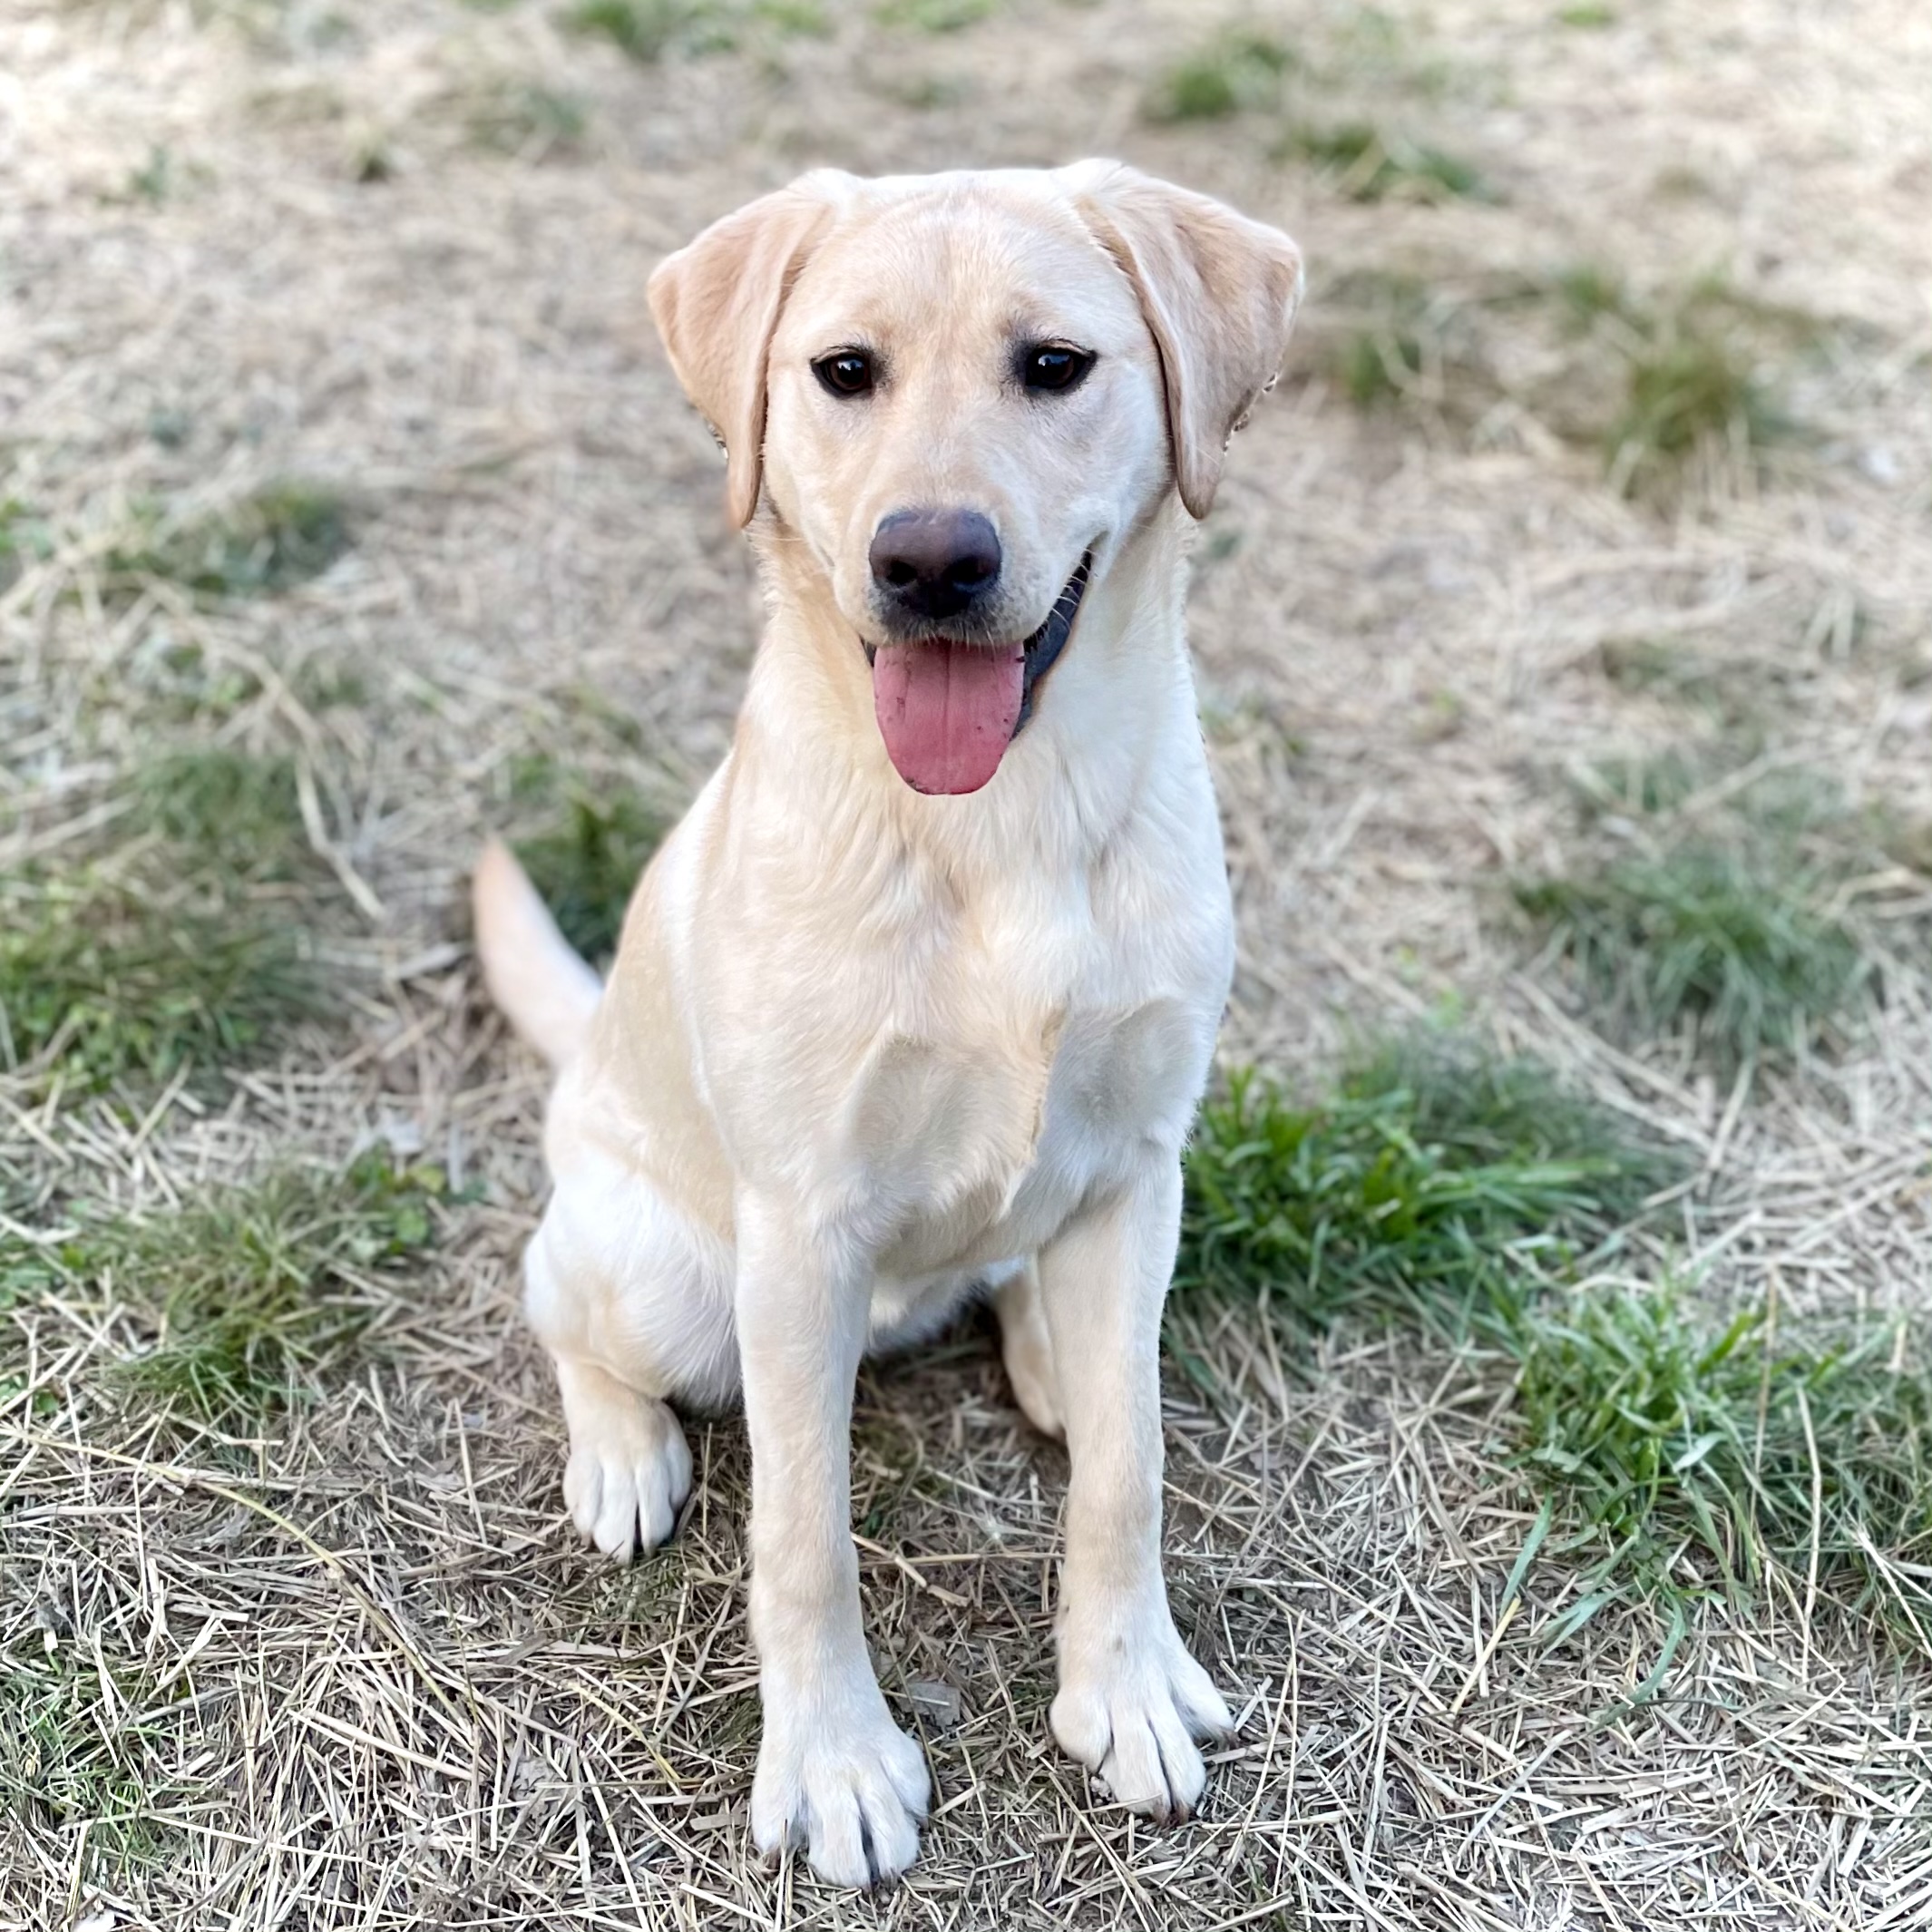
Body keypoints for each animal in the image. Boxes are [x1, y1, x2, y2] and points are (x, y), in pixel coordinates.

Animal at [474, 166, 1305, 1885]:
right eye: (843, 371)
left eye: (1055, 366)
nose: (929, 562)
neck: (1004, 822)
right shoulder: (802, 1231)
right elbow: (806, 1536)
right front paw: (836, 1767)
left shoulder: (1142, 1162)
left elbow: (1129, 1475)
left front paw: (1126, 1686)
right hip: (666, 1274)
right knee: (560, 1305)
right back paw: (622, 1450)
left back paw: (1049, 1343)